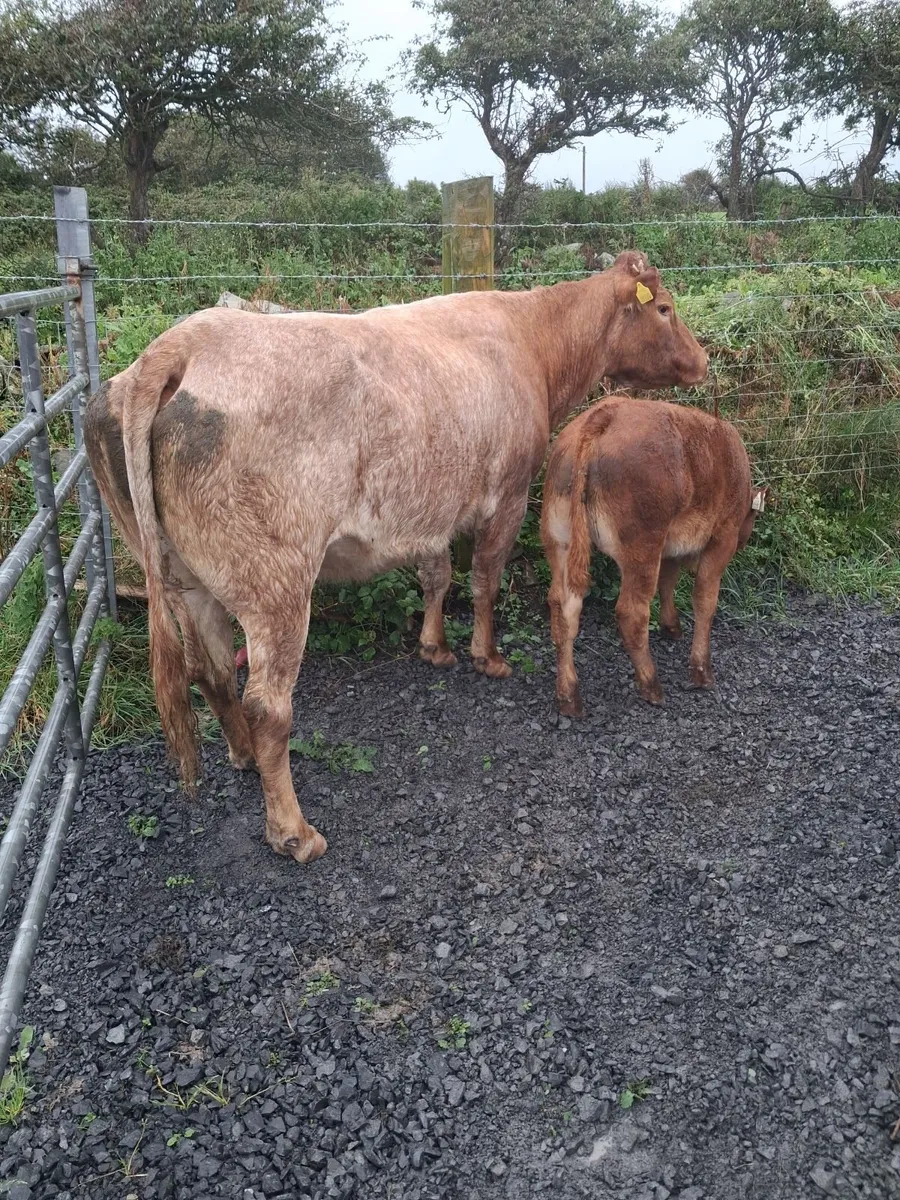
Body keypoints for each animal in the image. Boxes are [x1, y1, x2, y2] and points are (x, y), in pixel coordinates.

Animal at [84, 252, 707, 864]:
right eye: (666, 309)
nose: (701, 361)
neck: (532, 339)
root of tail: (179, 343)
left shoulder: (430, 506)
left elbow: (437, 574)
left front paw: (434, 646)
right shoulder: (506, 494)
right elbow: (484, 578)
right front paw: (487, 656)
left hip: (185, 577)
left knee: (211, 671)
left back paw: (243, 756)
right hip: (276, 581)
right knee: (268, 705)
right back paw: (294, 831)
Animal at [541, 396, 766, 716]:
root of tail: (602, 416)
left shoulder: (670, 546)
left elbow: (668, 582)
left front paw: (671, 626)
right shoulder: (722, 537)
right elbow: (705, 600)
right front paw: (702, 671)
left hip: (560, 540)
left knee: (563, 608)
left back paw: (568, 696)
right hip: (642, 547)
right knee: (631, 612)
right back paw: (651, 685)